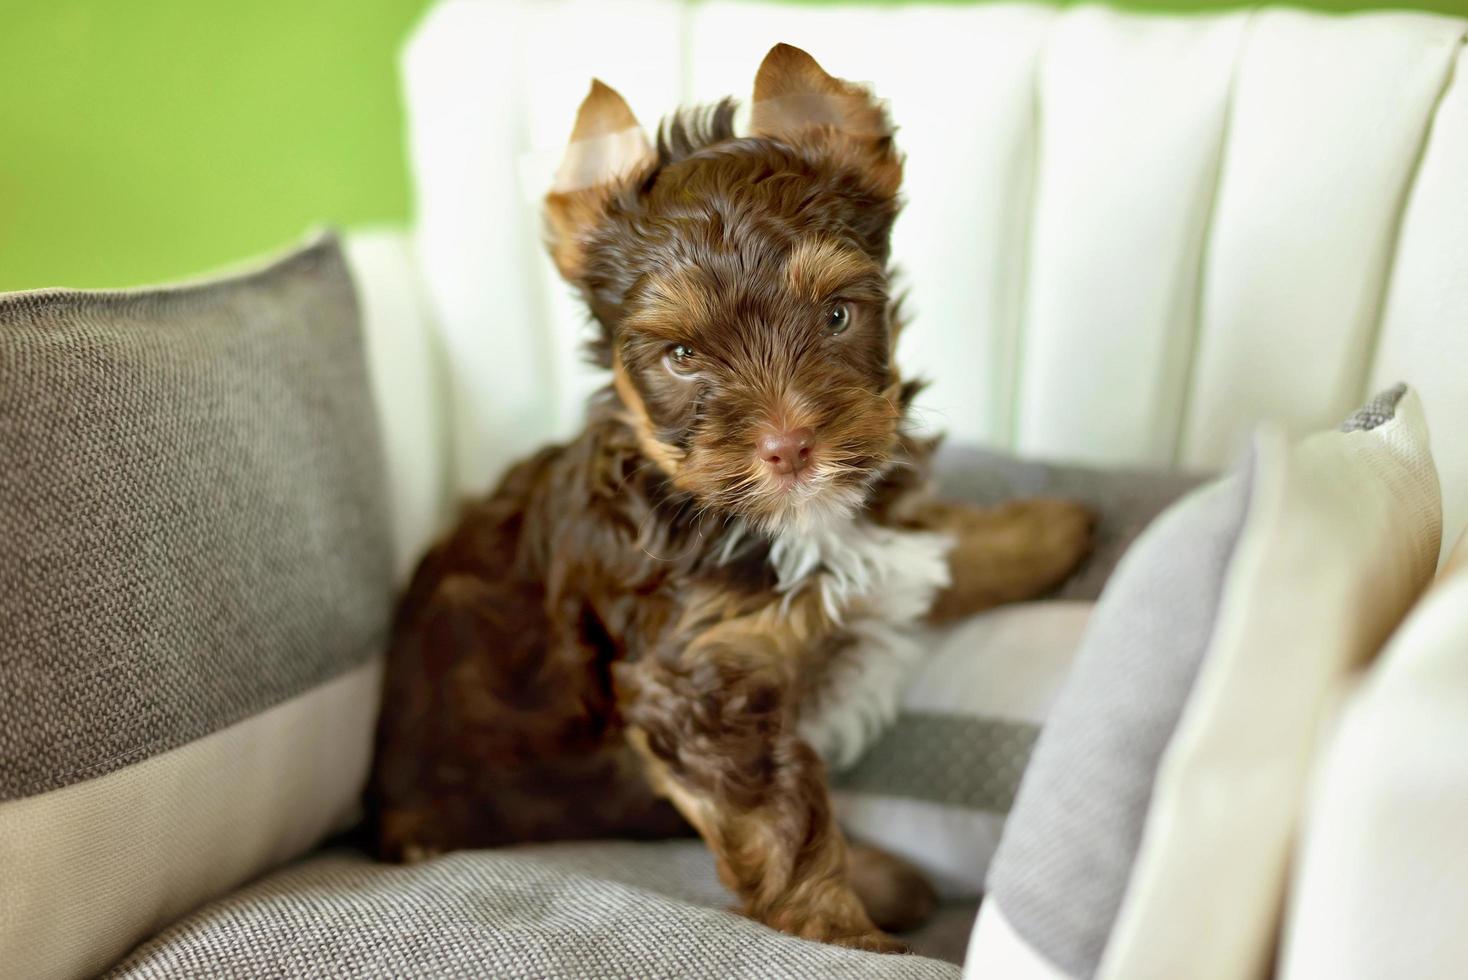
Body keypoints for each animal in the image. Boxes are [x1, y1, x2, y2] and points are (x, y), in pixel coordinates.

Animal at [365, 44, 1092, 950]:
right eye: (681, 356)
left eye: (838, 315)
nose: (790, 447)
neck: (778, 521)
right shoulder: (697, 686)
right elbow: (779, 825)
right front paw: (845, 939)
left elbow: (931, 540)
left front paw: (1049, 533)